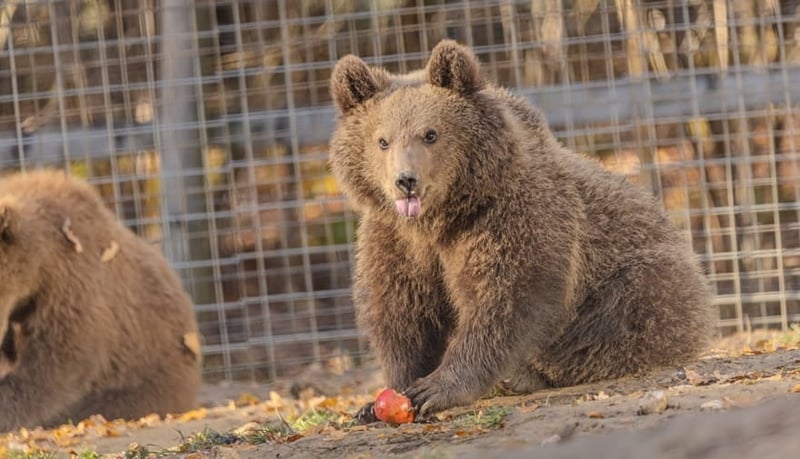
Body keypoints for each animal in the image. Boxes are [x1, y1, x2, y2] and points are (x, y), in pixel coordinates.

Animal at [328, 39, 715, 419]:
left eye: (430, 134)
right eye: (382, 140)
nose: (405, 181)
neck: (441, 218)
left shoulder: (507, 218)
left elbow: (506, 296)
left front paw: (435, 389)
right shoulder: (396, 239)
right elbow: (402, 311)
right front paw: (381, 398)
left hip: (648, 276)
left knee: (628, 308)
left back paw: (530, 373)